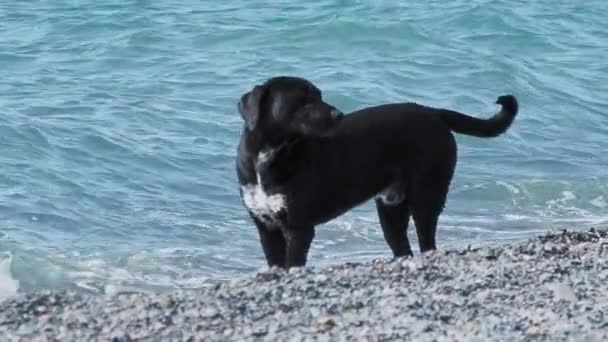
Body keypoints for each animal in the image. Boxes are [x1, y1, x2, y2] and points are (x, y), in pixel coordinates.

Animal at [235, 76, 516, 268]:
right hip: (391, 209)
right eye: (303, 100)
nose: (338, 114)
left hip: (426, 195)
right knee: (402, 246)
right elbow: (275, 262)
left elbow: (292, 263)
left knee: (427, 241)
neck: (267, 156)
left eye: (319, 95)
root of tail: (433, 112)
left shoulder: (298, 227)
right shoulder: (265, 226)